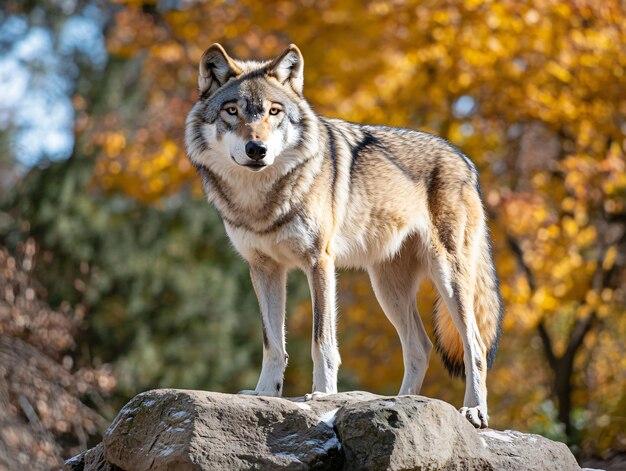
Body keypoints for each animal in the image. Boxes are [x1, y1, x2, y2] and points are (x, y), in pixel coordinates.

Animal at [184, 43, 502, 428]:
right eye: (232, 111)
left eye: (274, 111)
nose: (257, 149)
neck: (259, 199)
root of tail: (464, 159)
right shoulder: (263, 268)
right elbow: (272, 342)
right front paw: (264, 393)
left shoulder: (318, 261)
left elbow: (321, 339)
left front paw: (322, 395)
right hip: (387, 289)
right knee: (420, 347)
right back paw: (401, 404)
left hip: (447, 276)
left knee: (475, 345)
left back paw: (474, 411)